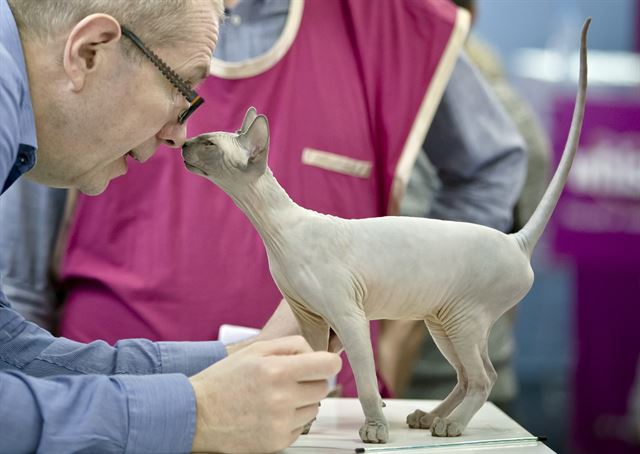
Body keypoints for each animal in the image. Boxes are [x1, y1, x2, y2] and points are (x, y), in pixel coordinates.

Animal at [181, 20, 592, 444]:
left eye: (207, 143)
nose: (182, 143)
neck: (277, 230)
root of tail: (515, 240)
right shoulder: (310, 319)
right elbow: (310, 370)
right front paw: (303, 424)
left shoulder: (348, 317)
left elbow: (365, 382)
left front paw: (375, 428)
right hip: (442, 322)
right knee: (467, 375)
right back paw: (429, 416)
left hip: (463, 318)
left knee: (483, 378)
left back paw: (451, 424)